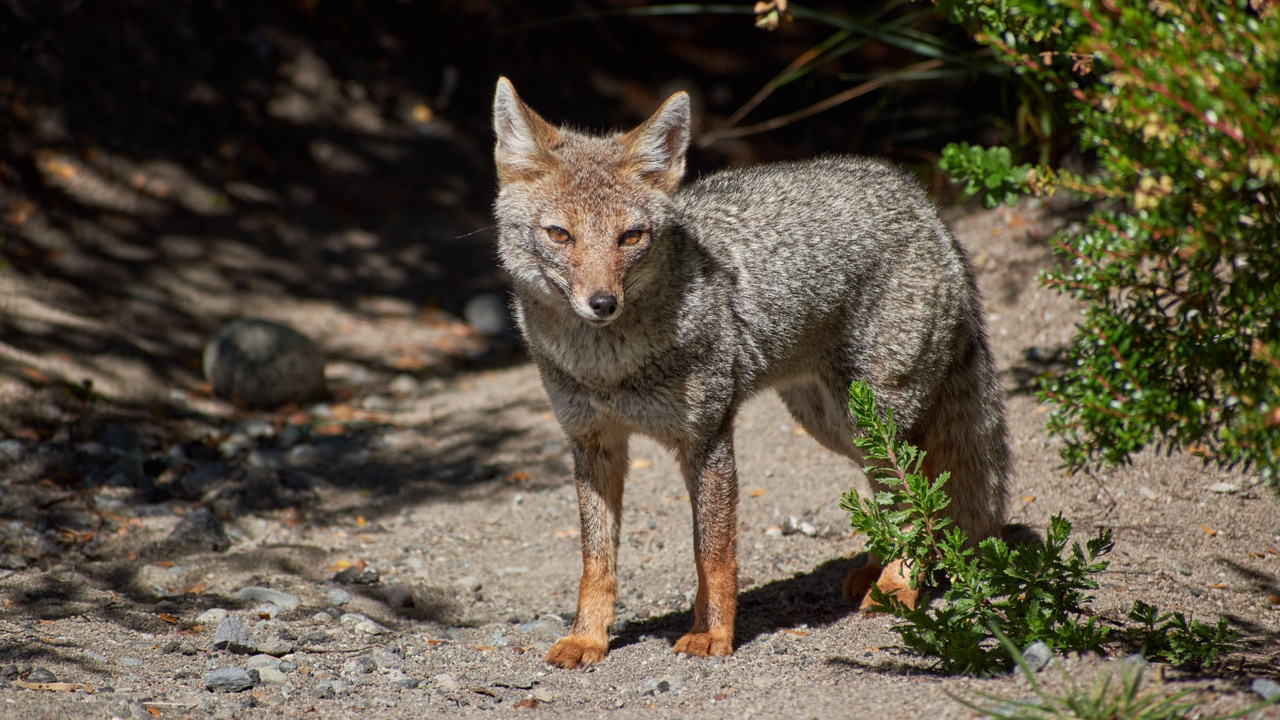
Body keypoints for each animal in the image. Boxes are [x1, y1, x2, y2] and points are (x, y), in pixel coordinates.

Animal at [491, 77, 1011, 669]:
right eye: (559, 235)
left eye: (630, 237)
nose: (602, 303)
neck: (610, 367)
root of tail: (922, 202)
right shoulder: (592, 443)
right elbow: (596, 563)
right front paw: (588, 638)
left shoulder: (708, 436)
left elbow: (713, 553)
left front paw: (713, 634)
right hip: (836, 427)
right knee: (897, 497)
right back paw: (875, 570)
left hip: (875, 420)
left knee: (918, 498)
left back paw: (898, 587)